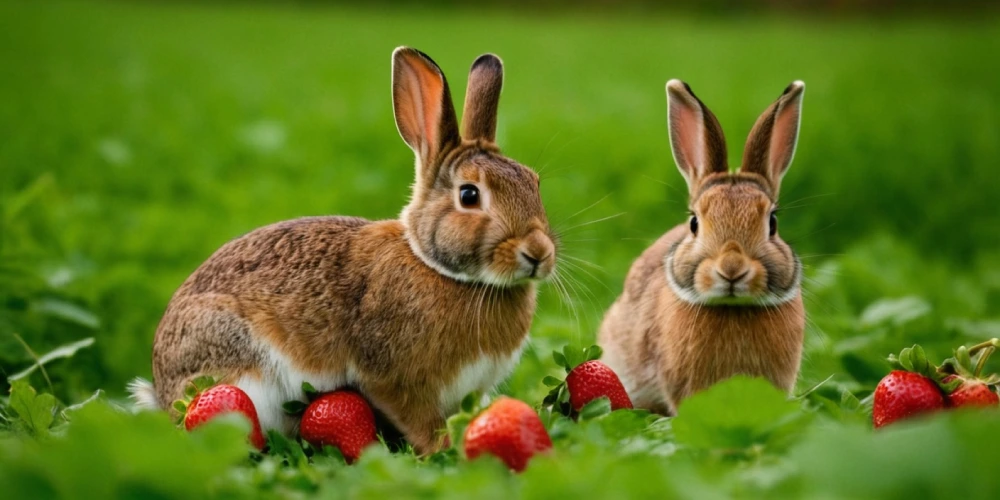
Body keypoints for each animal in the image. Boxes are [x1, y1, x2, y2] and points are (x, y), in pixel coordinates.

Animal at [127, 47, 556, 454]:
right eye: (469, 195)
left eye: (534, 183)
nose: (539, 253)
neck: (439, 269)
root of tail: (162, 392)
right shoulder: (394, 380)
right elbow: (421, 422)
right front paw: (445, 449)